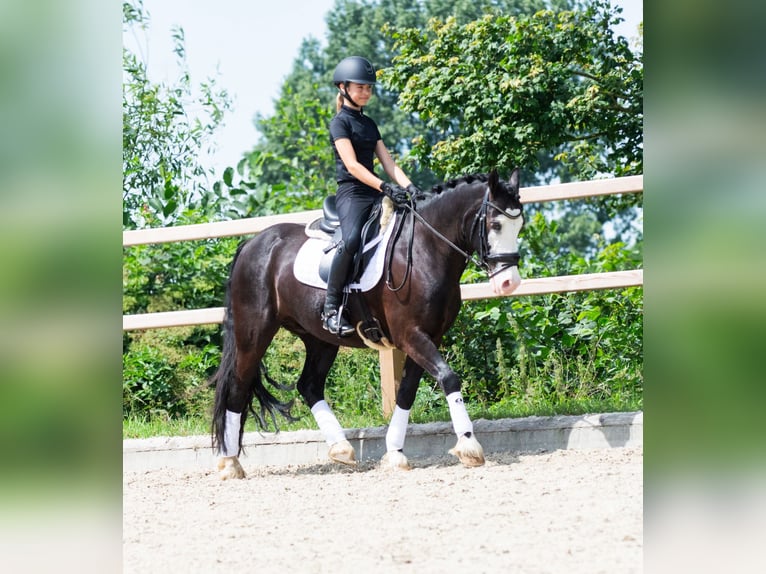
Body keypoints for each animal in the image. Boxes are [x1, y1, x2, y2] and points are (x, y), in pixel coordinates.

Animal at [210, 168, 524, 479]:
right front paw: (469, 445)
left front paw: (395, 454)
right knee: (238, 385)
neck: (425, 248)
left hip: (319, 338)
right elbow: (448, 377)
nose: (509, 282)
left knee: (309, 385)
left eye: (519, 225)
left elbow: (406, 392)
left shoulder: (428, 337)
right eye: (495, 224)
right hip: (254, 332)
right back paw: (230, 463)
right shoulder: (411, 335)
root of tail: (253, 243)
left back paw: (341, 449)